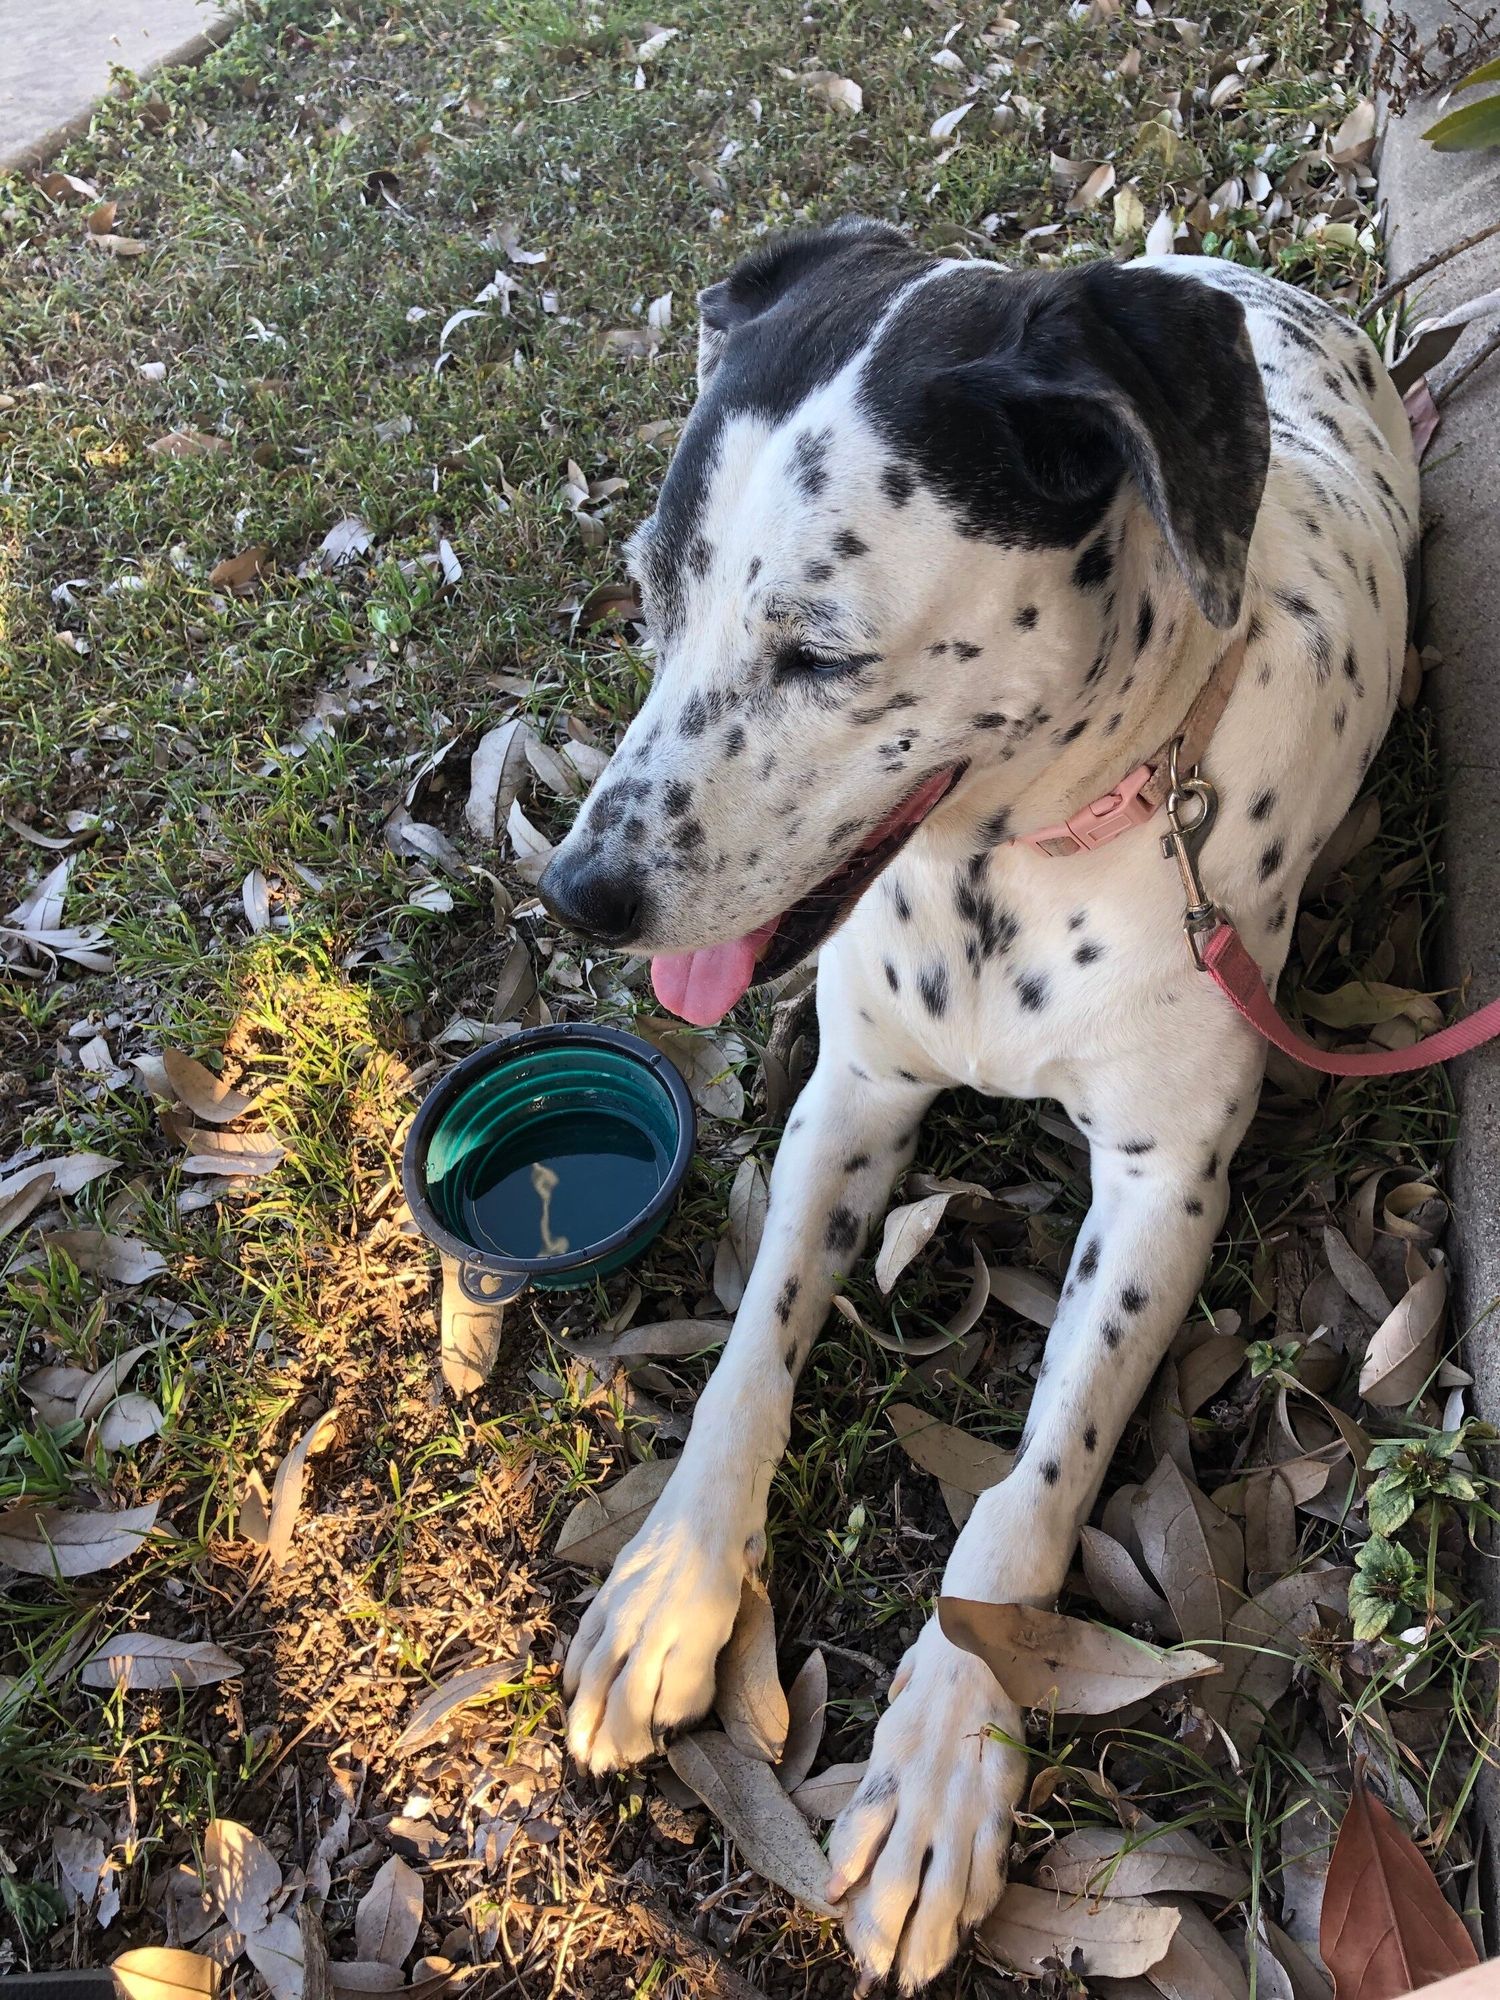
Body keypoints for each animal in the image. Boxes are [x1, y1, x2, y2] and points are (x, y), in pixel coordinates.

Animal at [536, 218, 1418, 1990]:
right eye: (650, 590)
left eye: (820, 652)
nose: (578, 893)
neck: (1013, 869)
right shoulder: (853, 1093)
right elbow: (745, 1360)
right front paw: (673, 1581)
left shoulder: (1162, 1185)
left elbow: (1027, 1484)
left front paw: (947, 1752)